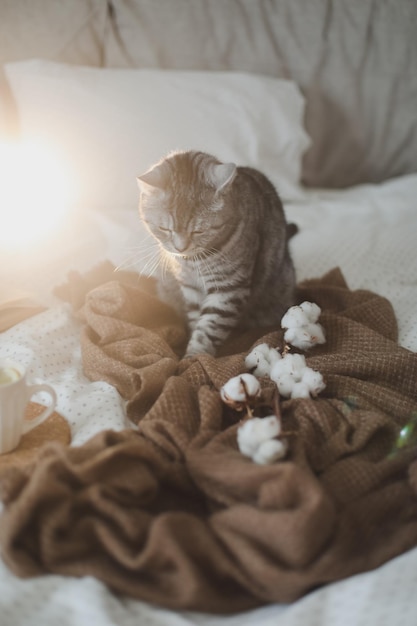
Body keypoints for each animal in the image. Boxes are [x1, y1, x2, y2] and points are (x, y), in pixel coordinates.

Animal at [138, 149, 298, 356]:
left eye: (198, 231)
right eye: (164, 229)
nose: (180, 247)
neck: (192, 262)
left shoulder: (228, 288)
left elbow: (208, 330)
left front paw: (193, 358)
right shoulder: (191, 288)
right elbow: (196, 321)